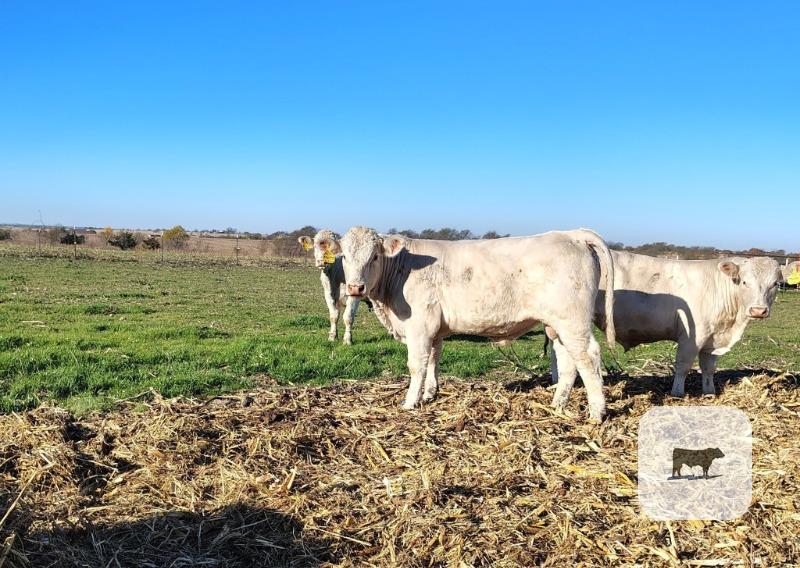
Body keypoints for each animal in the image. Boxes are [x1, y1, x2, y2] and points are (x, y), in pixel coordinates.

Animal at [334, 226, 616, 422]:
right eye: (345, 256)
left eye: (374, 256)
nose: (355, 287)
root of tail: (573, 234)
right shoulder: (435, 330)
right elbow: (434, 360)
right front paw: (430, 393)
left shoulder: (419, 327)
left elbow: (416, 365)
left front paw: (410, 401)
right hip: (557, 325)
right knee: (568, 361)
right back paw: (558, 405)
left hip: (573, 321)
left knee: (588, 357)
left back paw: (596, 413)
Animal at [550, 252, 788, 396]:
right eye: (745, 282)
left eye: (775, 284)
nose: (758, 310)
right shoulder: (692, 337)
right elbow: (683, 365)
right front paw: (677, 392)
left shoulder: (712, 339)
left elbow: (708, 367)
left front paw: (709, 391)